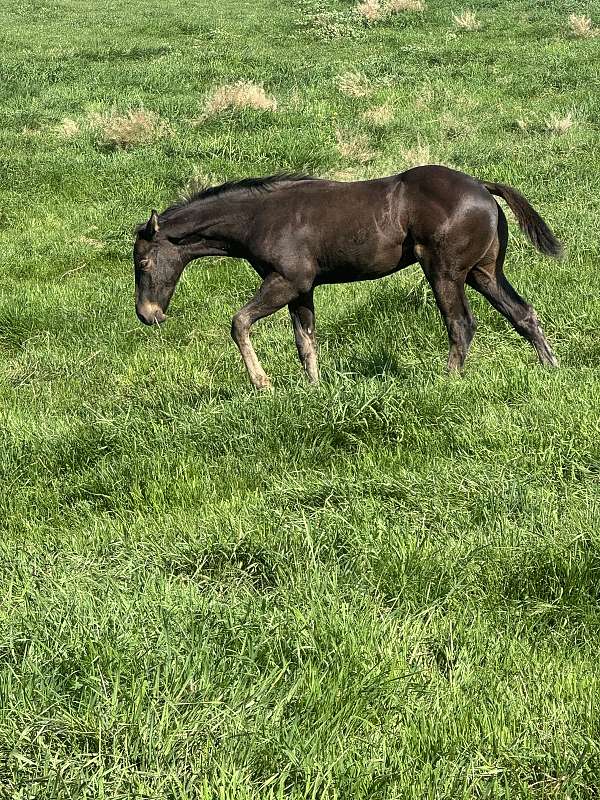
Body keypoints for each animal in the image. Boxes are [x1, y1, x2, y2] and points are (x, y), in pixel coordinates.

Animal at [133, 165, 562, 389]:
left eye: (145, 263)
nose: (148, 314)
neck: (260, 218)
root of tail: (483, 187)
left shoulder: (285, 282)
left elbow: (239, 322)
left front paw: (262, 383)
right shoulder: (302, 290)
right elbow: (305, 342)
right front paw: (314, 390)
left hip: (445, 272)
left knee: (461, 324)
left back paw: (446, 381)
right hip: (483, 272)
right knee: (522, 313)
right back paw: (551, 366)